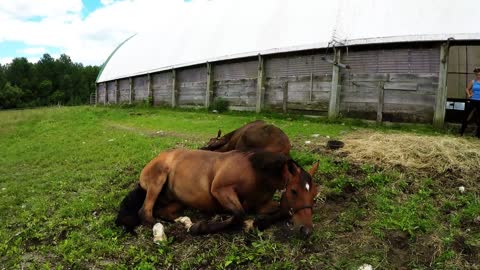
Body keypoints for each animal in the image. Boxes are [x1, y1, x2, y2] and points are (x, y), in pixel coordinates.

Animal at [116, 150, 318, 236]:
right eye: (293, 190)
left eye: (314, 194)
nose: (306, 230)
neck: (255, 172)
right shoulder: (220, 190)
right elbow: (239, 214)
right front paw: (201, 228)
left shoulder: (262, 205)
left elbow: (281, 210)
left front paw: (259, 222)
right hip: (157, 182)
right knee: (145, 212)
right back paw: (165, 230)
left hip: (178, 199)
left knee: (162, 211)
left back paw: (185, 221)